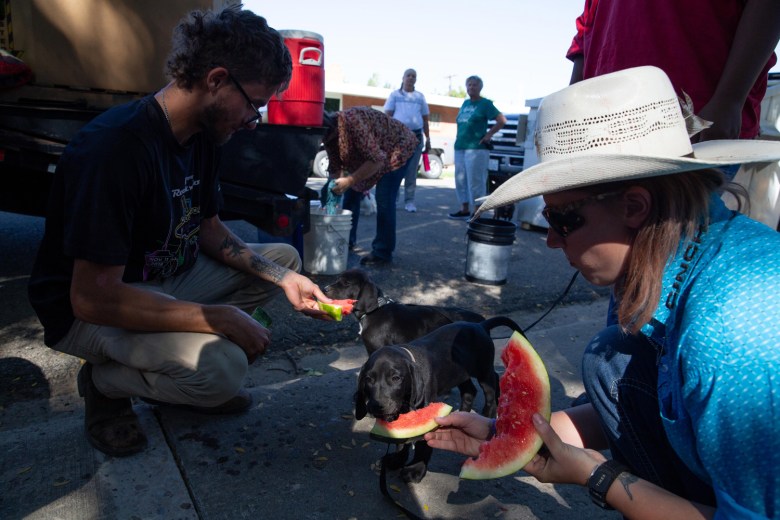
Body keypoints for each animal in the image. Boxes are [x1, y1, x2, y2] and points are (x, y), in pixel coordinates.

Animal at [356, 314, 520, 482]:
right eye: (368, 379)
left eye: (396, 378)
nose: (377, 406)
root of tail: (480, 325)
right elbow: (401, 442)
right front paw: (396, 460)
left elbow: (422, 444)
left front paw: (415, 469)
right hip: (460, 373)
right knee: (470, 391)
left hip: (483, 371)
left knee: (491, 390)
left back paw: (488, 414)